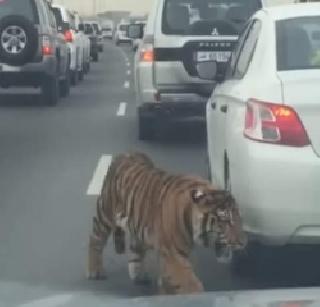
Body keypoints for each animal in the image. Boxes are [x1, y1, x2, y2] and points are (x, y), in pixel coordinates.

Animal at [86, 153, 246, 294]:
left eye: (239, 218)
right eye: (225, 219)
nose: (243, 242)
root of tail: (126, 153)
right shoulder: (173, 254)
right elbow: (189, 283)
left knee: (136, 248)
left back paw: (139, 276)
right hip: (106, 212)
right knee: (95, 238)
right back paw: (95, 271)